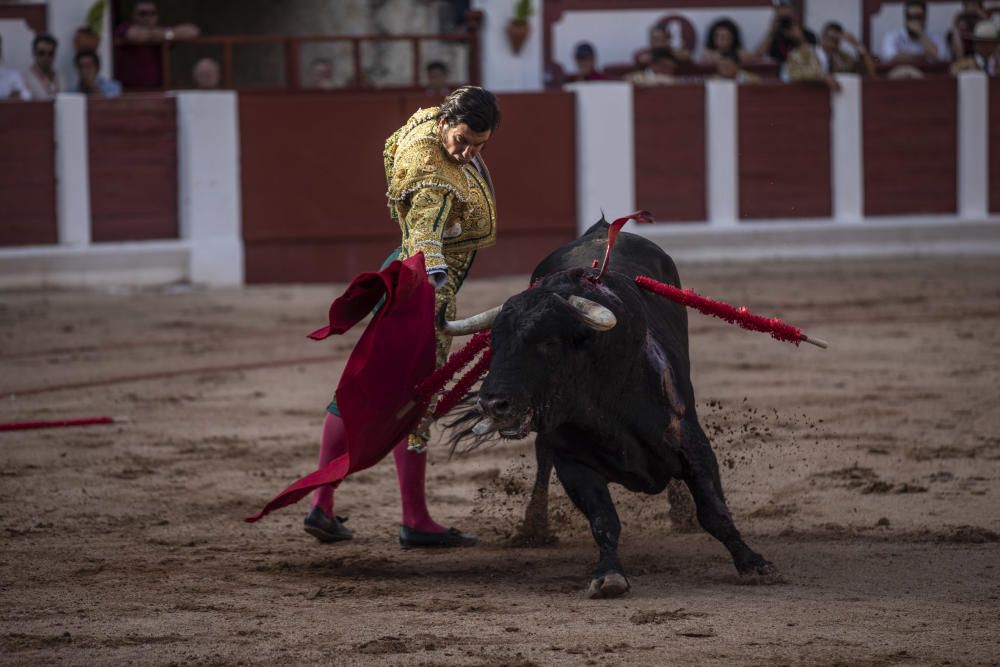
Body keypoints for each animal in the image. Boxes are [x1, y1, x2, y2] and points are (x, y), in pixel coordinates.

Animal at [448, 219, 780, 600]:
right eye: (494, 341)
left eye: (549, 342)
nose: (492, 403)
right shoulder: (573, 462)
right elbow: (603, 520)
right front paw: (608, 576)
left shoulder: (690, 439)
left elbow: (714, 512)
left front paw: (754, 564)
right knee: (542, 460)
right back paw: (535, 526)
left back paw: (681, 510)